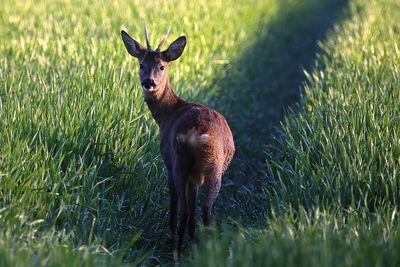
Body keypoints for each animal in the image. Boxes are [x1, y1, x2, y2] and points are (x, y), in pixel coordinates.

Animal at [120, 26, 236, 258]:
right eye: (141, 64)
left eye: (162, 66)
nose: (149, 82)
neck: (168, 113)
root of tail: (197, 133)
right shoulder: (195, 176)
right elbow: (192, 210)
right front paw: (194, 242)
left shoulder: (167, 163)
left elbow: (176, 207)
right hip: (211, 167)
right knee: (203, 210)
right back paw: (203, 247)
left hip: (179, 162)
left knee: (184, 209)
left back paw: (177, 249)